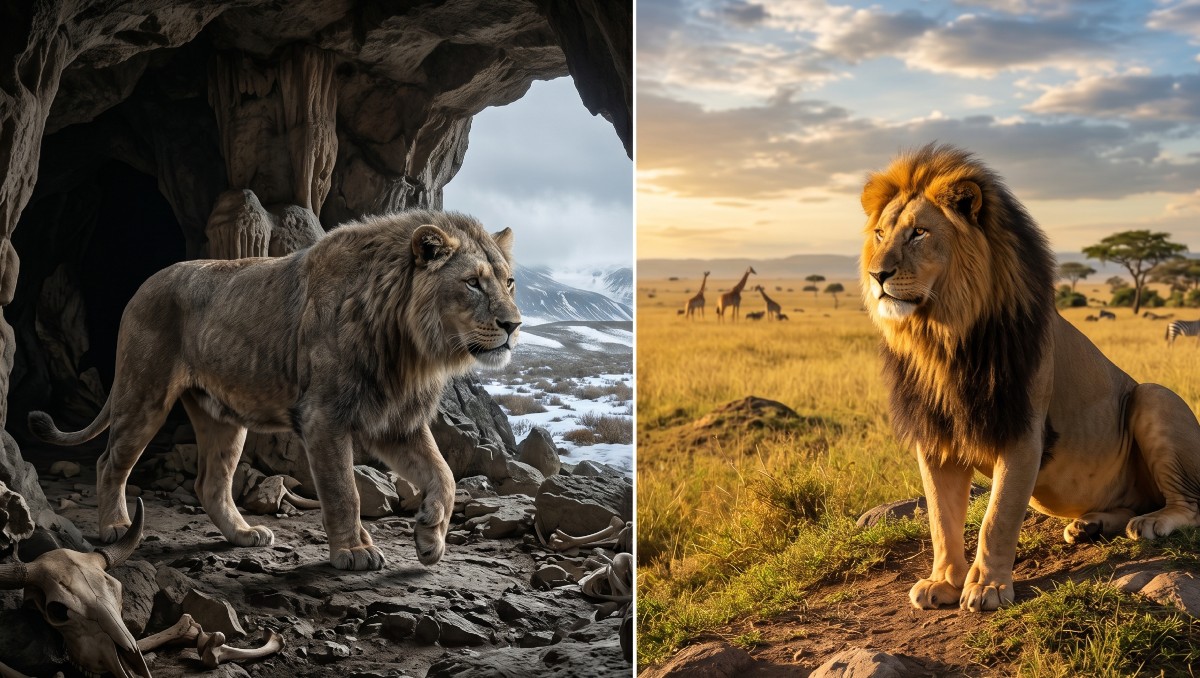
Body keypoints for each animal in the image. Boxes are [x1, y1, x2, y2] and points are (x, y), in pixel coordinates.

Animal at [28, 210, 521, 571]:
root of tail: (142, 286)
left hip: (222, 418)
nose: (514, 324)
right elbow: (344, 490)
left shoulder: (395, 423)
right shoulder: (324, 417)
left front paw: (429, 539)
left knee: (211, 483)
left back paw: (244, 535)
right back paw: (115, 525)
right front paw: (354, 552)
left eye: (509, 281)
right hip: (142, 393)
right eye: (472, 282)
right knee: (110, 461)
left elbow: (444, 475)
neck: (412, 348)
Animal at [860, 143, 1200, 612]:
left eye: (919, 233)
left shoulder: (1023, 427)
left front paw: (987, 588)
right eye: (879, 234)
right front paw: (943, 582)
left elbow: (997, 517)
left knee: (1190, 505)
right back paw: (1089, 525)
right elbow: (941, 519)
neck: (942, 338)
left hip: (1153, 396)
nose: (877, 275)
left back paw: (1153, 522)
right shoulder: (935, 434)